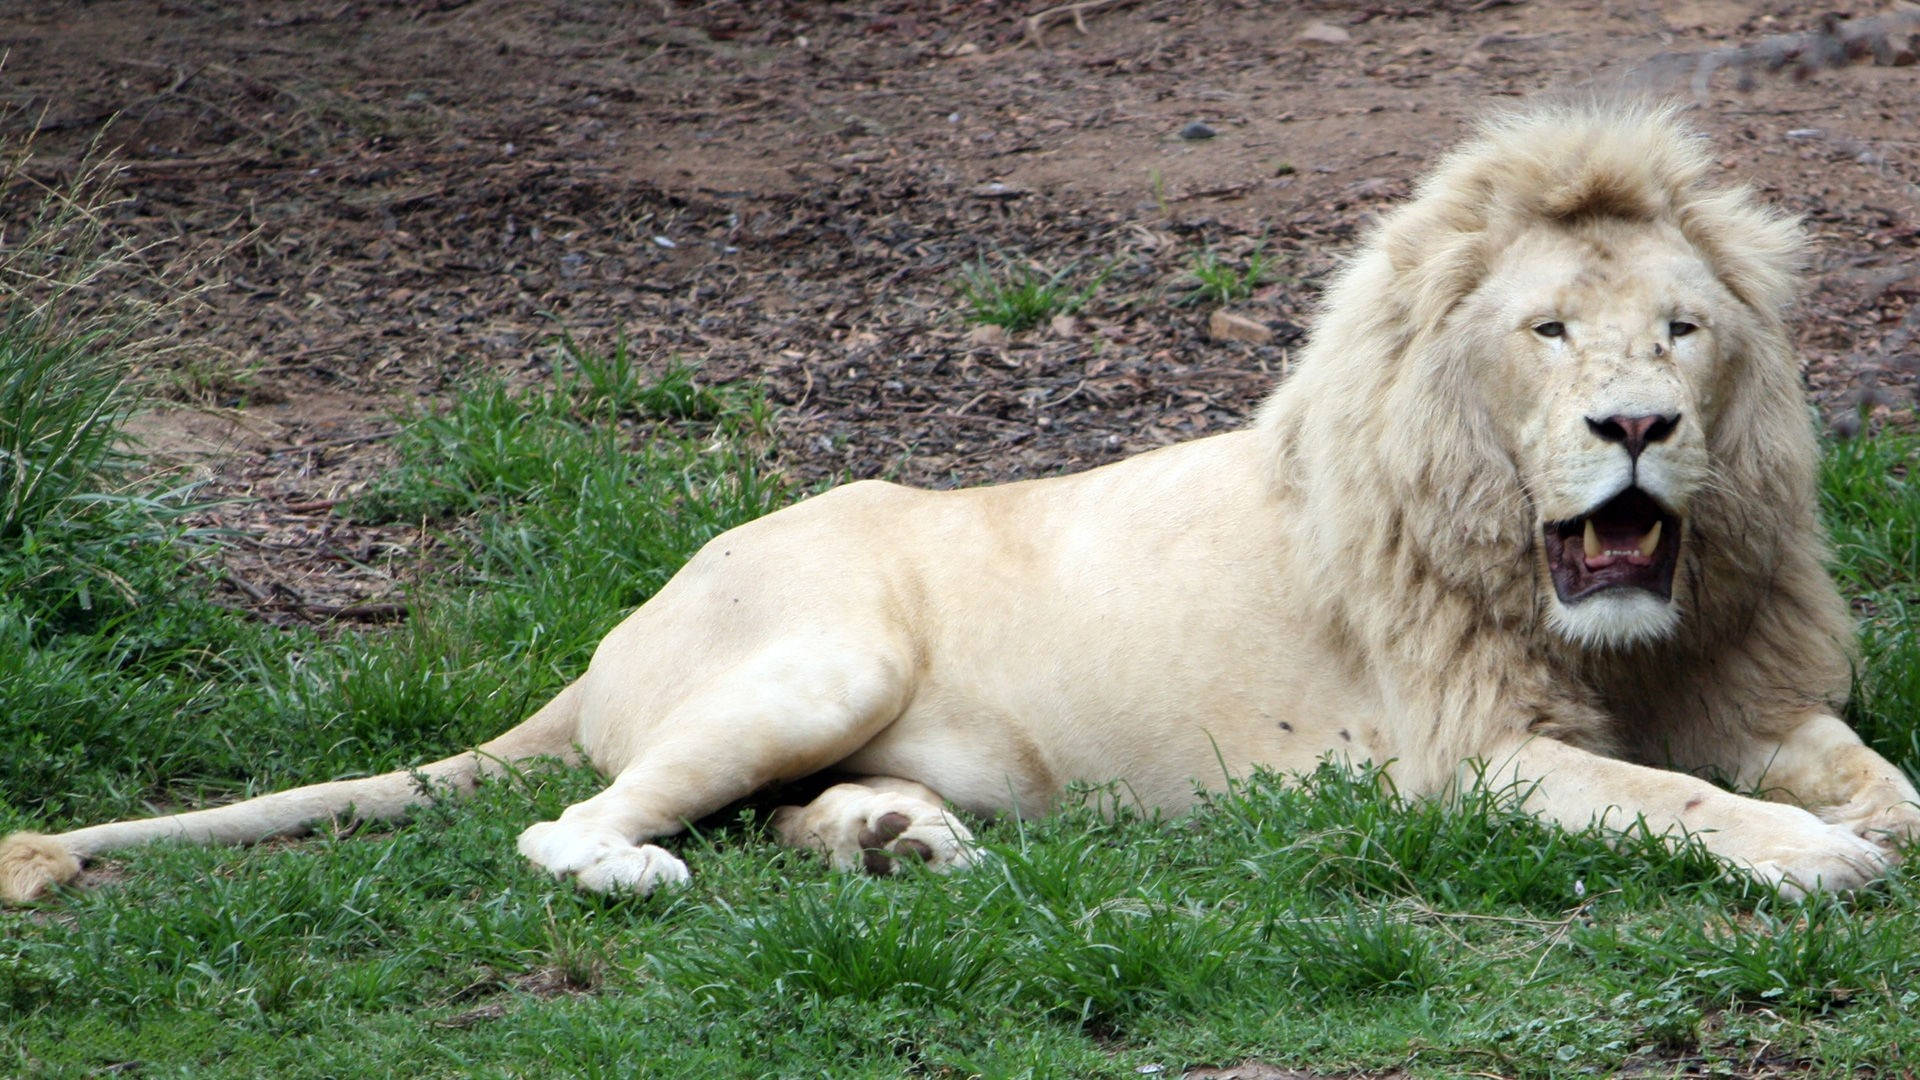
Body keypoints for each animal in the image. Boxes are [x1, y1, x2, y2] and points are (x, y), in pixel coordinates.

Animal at [3, 102, 1920, 899]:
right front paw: (1809, 861)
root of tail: (614, 630)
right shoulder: (1465, 764)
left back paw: (894, 839)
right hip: (819, 658)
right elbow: (1677, 807)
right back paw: (661, 874)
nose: (1637, 427)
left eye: (1684, 329)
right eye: (1548, 332)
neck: (1612, 632)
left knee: (736, 808)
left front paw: (1867, 820)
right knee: (571, 827)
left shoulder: (1750, 688)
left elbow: (1865, 773)